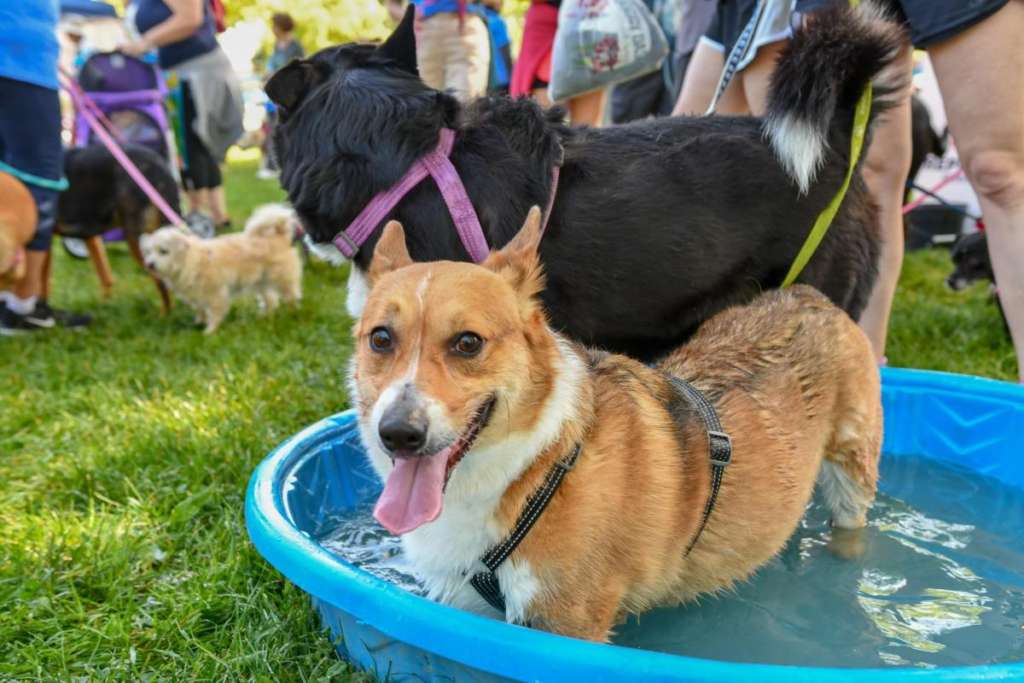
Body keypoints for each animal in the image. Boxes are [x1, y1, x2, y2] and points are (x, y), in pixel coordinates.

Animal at [140, 201, 301, 331]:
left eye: (163, 251)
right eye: (148, 252)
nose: (150, 264)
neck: (190, 260)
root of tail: (279, 234)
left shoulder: (215, 294)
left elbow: (215, 313)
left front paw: (210, 330)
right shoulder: (198, 296)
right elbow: (200, 309)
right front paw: (199, 322)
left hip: (282, 279)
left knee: (291, 295)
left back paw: (292, 311)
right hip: (261, 281)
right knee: (271, 299)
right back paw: (265, 315)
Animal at [350, 206, 880, 643]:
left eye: (467, 343)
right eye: (380, 338)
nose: (398, 433)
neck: (530, 471)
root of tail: (808, 296)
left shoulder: (568, 623)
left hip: (853, 476)